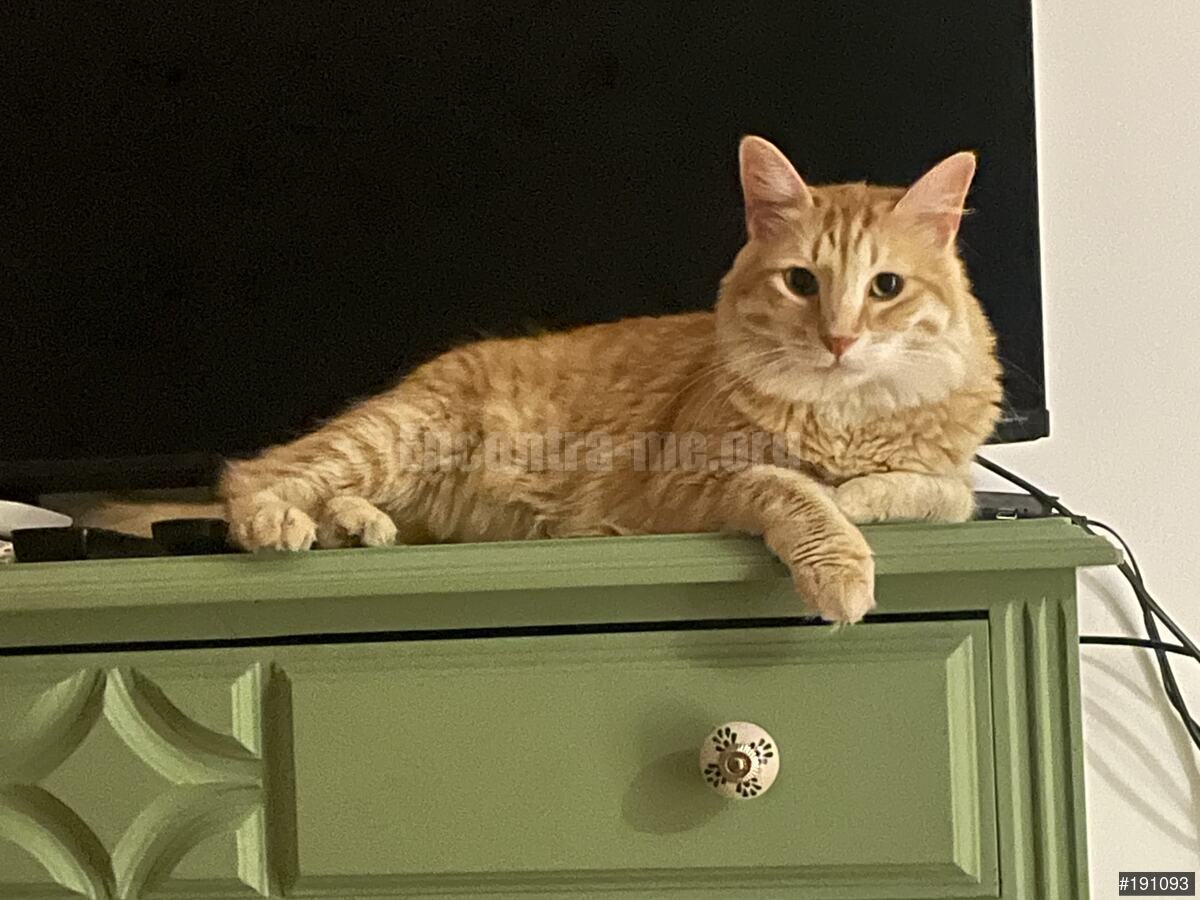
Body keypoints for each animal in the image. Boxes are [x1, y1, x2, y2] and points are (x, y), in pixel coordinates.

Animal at [220, 136, 1002, 623]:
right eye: (802, 282)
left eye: (886, 287)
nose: (839, 339)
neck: (843, 419)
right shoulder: (693, 482)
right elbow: (794, 491)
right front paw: (840, 557)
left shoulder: (953, 482)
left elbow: (933, 492)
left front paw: (864, 494)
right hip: (393, 439)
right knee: (256, 473)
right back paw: (279, 522)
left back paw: (355, 526)